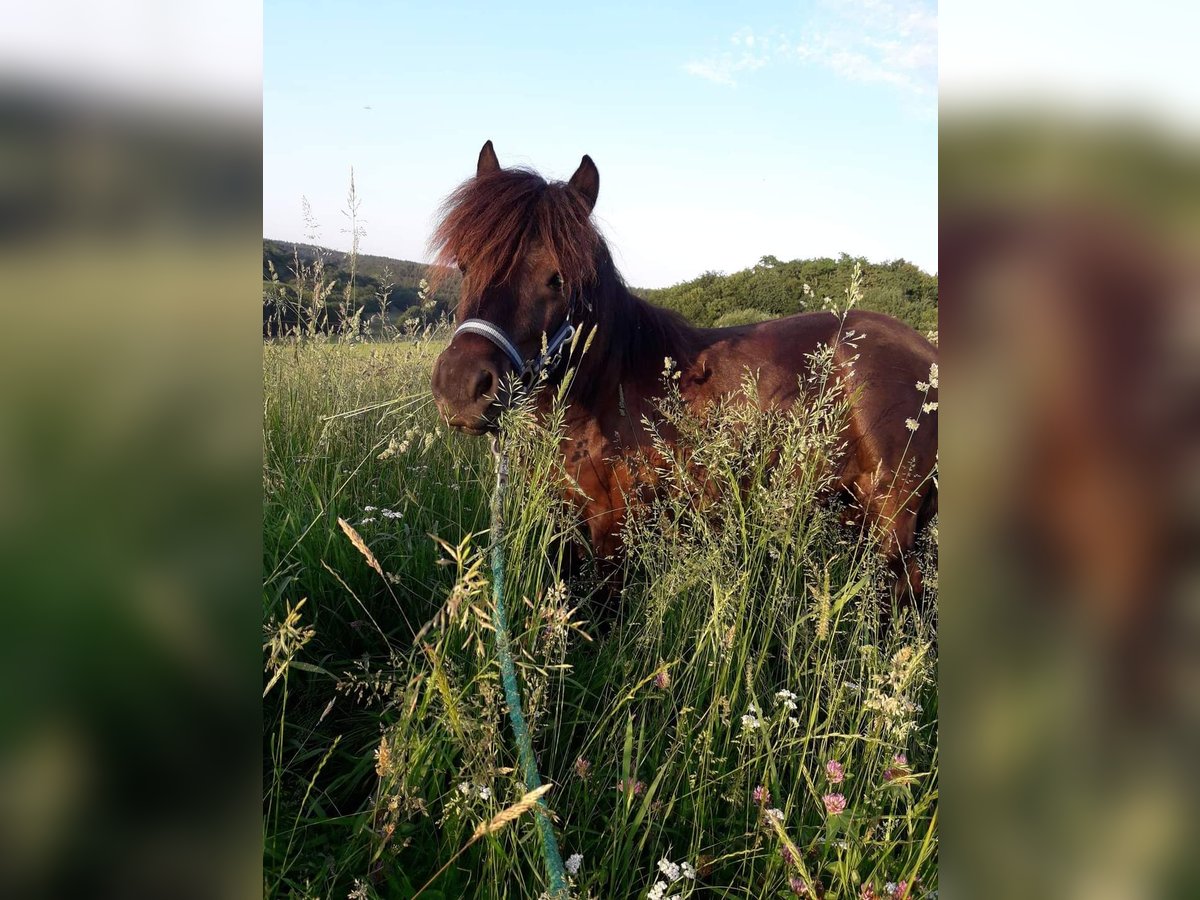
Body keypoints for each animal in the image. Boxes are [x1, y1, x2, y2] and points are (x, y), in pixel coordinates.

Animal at [432, 142, 936, 600]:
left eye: (559, 279)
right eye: (466, 265)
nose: (460, 386)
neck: (610, 394)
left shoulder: (614, 533)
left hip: (893, 517)